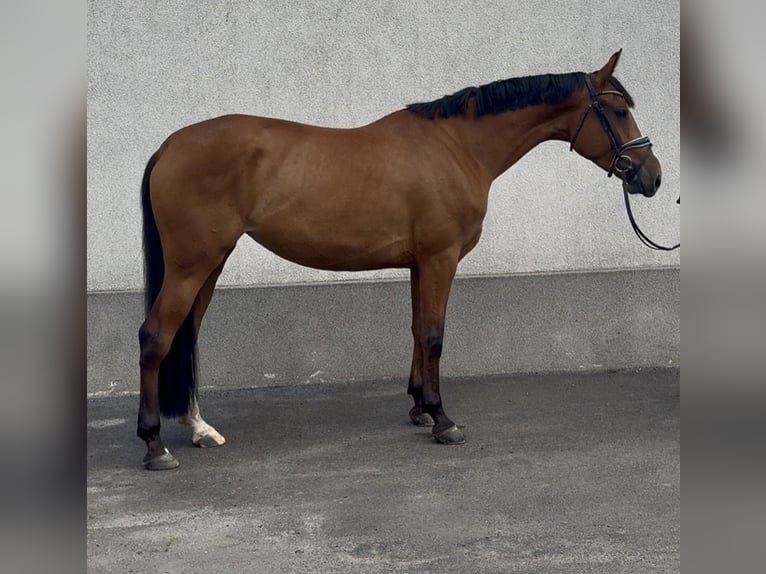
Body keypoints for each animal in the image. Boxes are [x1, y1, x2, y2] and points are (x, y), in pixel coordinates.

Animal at [137, 50, 666, 470]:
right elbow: (433, 335)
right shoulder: (440, 259)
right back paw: (154, 445)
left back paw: (198, 428)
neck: (458, 147)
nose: (652, 176)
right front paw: (442, 419)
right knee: (156, 337)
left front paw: (418, 407)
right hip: (191, 266)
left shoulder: (419, 263)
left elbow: (416, 329)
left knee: (187, 336)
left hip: (210, 264)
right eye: (620, 110)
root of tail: (169, 146)